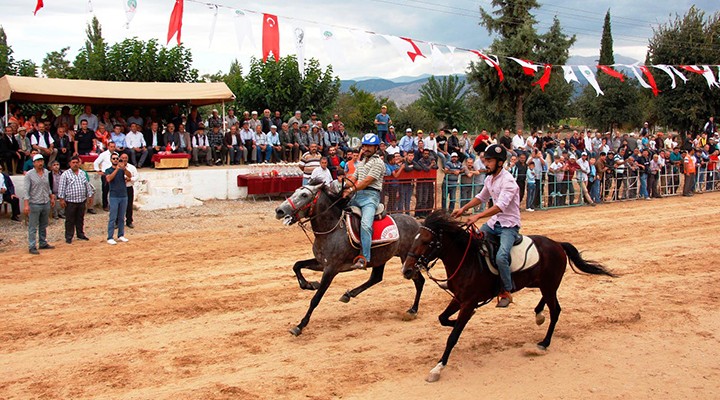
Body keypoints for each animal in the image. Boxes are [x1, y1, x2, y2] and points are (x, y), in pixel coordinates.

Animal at [274, 180, 422, 336]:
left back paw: (413, 310)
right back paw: (349, 294)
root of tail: (418, 224)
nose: (279, 210)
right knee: (376, 278)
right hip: (382, 257)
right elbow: (297, 265)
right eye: (295, 191)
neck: (332, 229)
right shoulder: (321, 263)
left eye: (304, 195)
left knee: (419, 281)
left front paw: (300, 325)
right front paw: (309, 284)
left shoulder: (331, 269)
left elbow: (316, 299)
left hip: (407, 260)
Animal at [402, 211, 616, 382]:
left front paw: (437, 368)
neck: (468, 260)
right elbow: (443, 318)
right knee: (549, 302)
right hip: (541, 283)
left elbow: (453, 337)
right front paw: (456, 322)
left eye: (427, 242)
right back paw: (538, 314)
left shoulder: (469, 302)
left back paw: (544, 343)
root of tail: (557, 244)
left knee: (556, 310)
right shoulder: (459, 299)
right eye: (414, 239)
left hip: (548, 284)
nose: (407, 270)